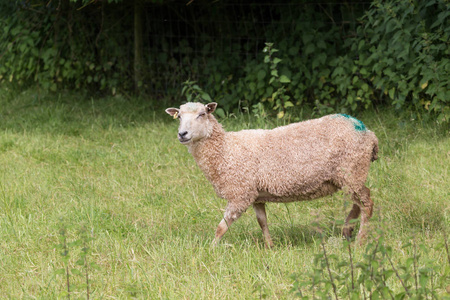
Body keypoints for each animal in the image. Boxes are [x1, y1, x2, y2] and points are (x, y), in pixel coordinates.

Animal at [164, 102, 376, 247]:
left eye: (202, 114)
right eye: (179, 116)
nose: (182, 134)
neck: (225, 149)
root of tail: (368, 132)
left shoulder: (240, 194)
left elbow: (221, 227)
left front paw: (211, 248)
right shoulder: (255, 195)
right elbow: (262, 222)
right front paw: (270, 246)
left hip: (352, 169)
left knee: (366, 203)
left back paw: (360, 241)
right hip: (349, 176)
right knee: (358, 203)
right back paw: (348, 230)